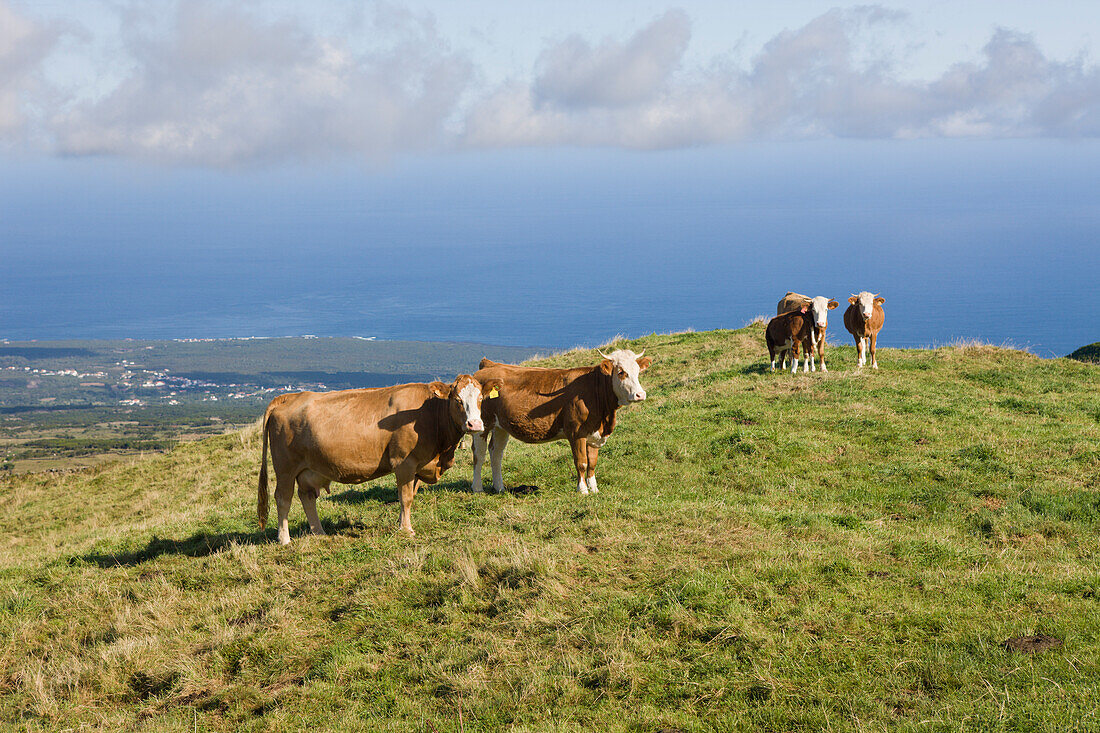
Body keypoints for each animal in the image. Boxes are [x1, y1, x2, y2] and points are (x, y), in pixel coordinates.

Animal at [255, 374, 501, 539]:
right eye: (457, 399)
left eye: (481, 398)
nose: (475, 424)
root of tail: (288, 397)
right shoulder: (404, 462)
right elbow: (405, 497)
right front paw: (406, 530)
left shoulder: (419, 464)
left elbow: (409, 495)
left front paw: (401, 523)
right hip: (285, 468)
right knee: (283, 499)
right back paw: (284, 539)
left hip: (309, 469)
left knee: (306, 497)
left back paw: (319, 532)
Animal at [468, 345, 646, 493]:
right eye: (621, 372)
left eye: (638, 371)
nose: (640, 394)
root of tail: (490, 365)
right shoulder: (576, 432)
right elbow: (581, 462)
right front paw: (582, 490)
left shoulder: (595, 433)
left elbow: (592, 462)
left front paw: (594, 489)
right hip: (482, 423)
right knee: (479, 454)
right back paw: (477, 488)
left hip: (501, 426)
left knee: (496, 453)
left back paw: (499, 487)